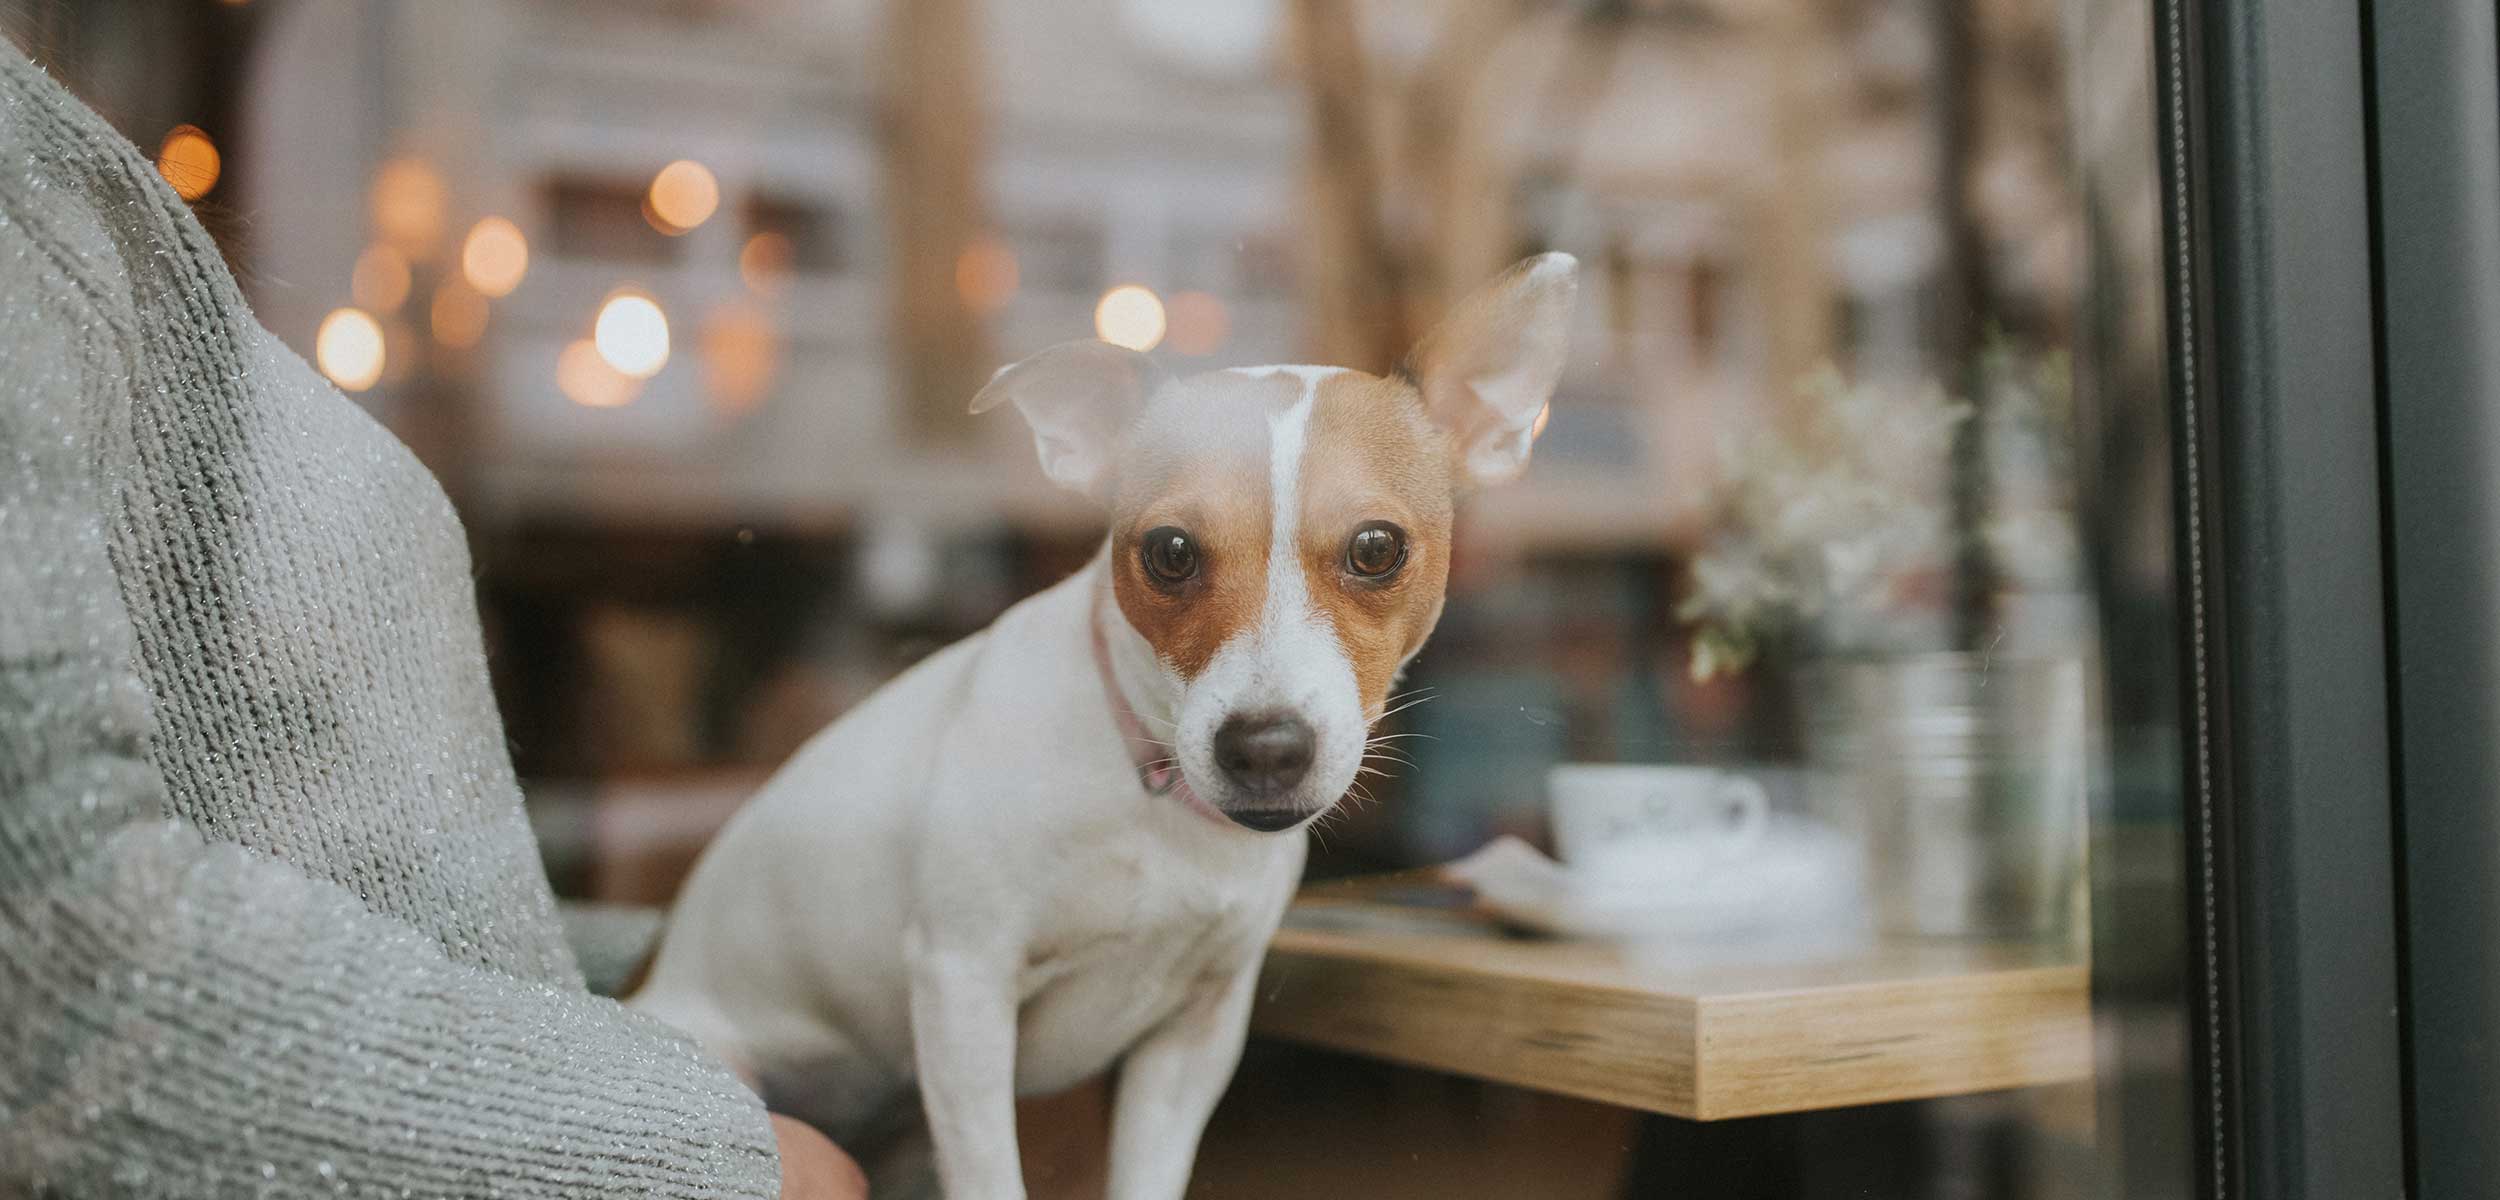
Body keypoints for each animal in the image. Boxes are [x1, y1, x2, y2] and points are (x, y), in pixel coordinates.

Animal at [640, 255, 1580, 1200]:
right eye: (1170, 552)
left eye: (1377, 548)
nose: (1264, 749)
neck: (1152, 799)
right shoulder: (964, 992)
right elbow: (992, 1177)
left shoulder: (1193, 1040)